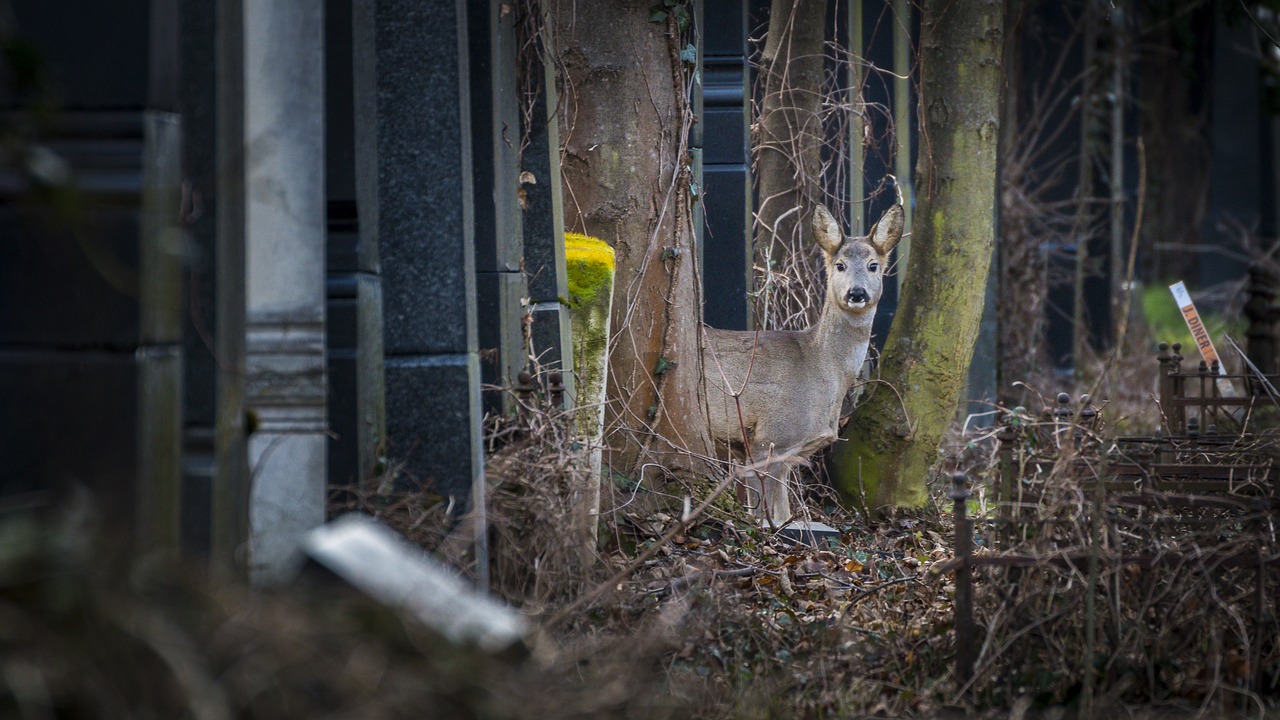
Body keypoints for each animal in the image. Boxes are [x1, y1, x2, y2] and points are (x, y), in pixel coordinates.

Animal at [706, 202, 906, 520]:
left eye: (873, 265)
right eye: (840, 265)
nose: (857, 293)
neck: (821, 367)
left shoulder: (787, 453)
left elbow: (784, 513)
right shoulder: (770, 438)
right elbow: (767, 517)